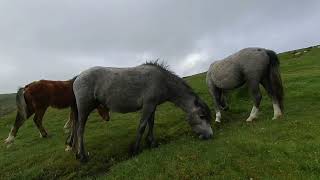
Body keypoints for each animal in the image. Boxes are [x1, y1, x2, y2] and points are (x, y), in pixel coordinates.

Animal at [68, 61, 212, 162]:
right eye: (202, 116)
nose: (210, 135)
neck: (162, 81)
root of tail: (77, 77)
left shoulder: (152, 106)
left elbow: (151, 123)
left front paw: (151, 142)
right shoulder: (148, 105)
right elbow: (142, 126)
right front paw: (135, 149)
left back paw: (78, 154)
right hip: (84, 108)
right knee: (80, 130)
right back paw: (82, 156)